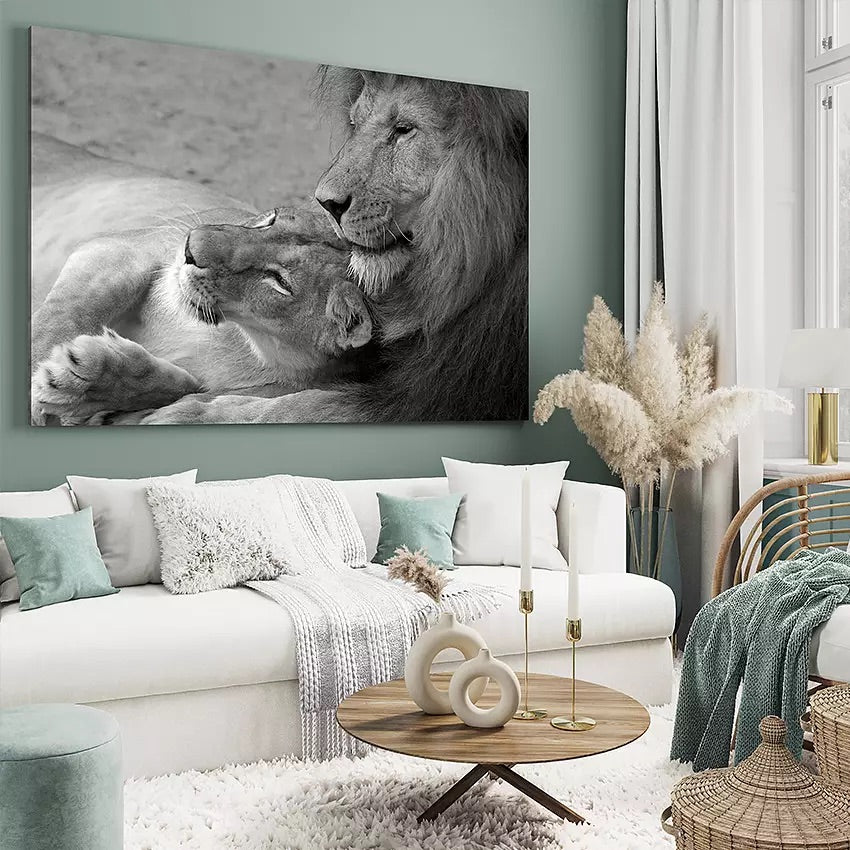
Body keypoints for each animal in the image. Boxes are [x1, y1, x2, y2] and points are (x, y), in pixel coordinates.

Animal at [30, 134, 373, 425]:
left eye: (279, 281)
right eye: (270, 220)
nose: (190, 247)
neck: (239, 341)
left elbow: (181, 391)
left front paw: (83, 380)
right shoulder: (123, 249)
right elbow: (60, 318)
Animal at [112, 68, 528, 425]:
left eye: (404, 129)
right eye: (355, 122)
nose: (327, 202)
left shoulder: (449, 389)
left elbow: (298, 408)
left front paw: (185, 412)